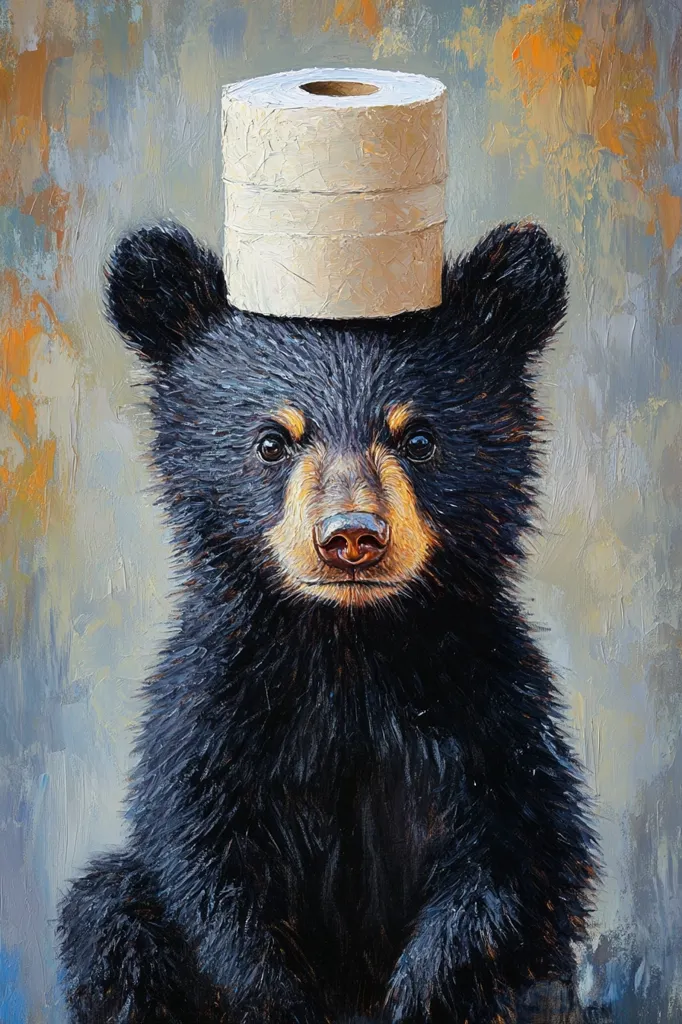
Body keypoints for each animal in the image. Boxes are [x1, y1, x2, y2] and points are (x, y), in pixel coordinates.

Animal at [57, 219, 597, 1024]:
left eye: (418, 438)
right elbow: (202, 872)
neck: (348, 652)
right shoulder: (215, 716)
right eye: (272, 441)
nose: (351, 537)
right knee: (106, 909)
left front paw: (421, 991)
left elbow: (520, 859)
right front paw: (271, 996)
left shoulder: (492, 709)